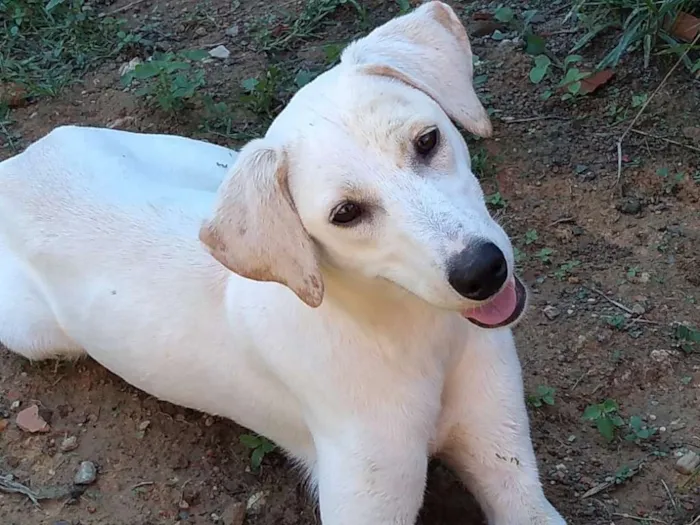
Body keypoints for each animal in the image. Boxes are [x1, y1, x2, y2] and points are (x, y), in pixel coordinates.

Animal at [0, 4, 568, 524]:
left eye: (427, 141)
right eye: (345, 214)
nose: (482, 270)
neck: (421, 336)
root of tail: (21, 162)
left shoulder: (509, 466)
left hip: (217, 164)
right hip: (33, 333)